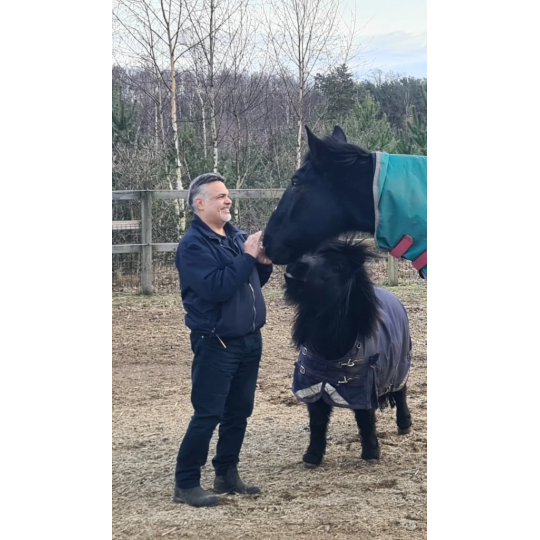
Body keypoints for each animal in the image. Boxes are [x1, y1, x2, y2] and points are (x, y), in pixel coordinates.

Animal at [284, 238, 412, 466]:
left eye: (338, 266)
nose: (297, 267)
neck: (331, 352)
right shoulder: (312, 385)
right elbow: (317, 421)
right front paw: (312, 456)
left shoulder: (363, 385)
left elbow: (365, 417)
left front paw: (371, 452)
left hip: (400, 366)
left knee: (400, 392)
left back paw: (404, 424)